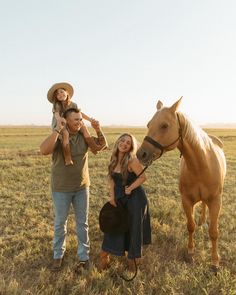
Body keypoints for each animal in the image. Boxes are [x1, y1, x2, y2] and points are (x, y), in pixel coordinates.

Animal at [136, 97, 227, 272]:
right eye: (148, 124)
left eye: (164, 125)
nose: (141, 154)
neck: (201, 165)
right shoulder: (186, 200)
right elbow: (190, 226)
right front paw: (190, 252)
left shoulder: (216, 201)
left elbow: (213, 231)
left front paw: (215, 262)